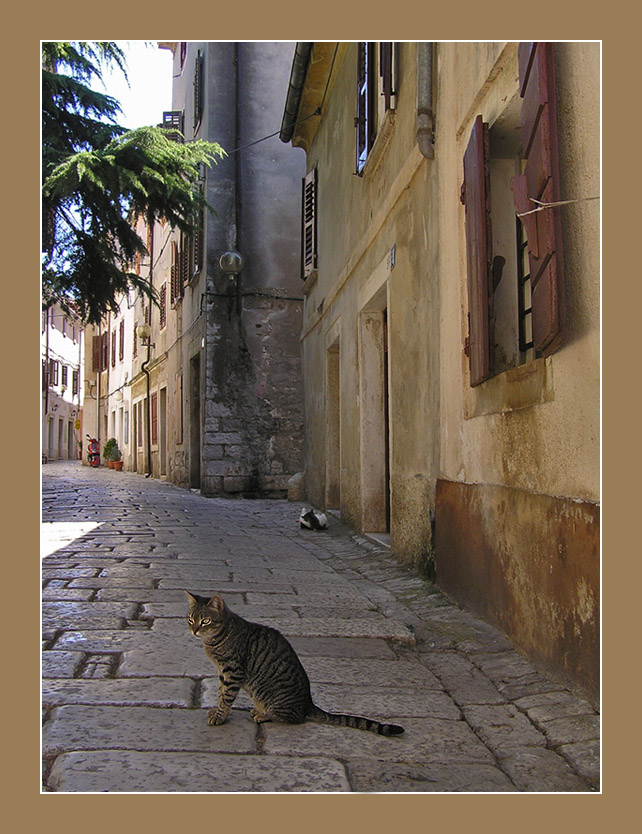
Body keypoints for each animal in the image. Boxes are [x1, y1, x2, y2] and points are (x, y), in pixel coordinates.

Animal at [182, 592, 402, 736]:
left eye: (206, 621)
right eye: (191, 619)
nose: (194, 630)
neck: (216, 640)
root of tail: (308, 703)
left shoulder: (232, 672)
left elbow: (226, 697)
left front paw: (220, 716)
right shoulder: (223, 672)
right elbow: (220, 693)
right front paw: (217, 711)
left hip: (271, 695)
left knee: (294, 718)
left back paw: (264, 715)